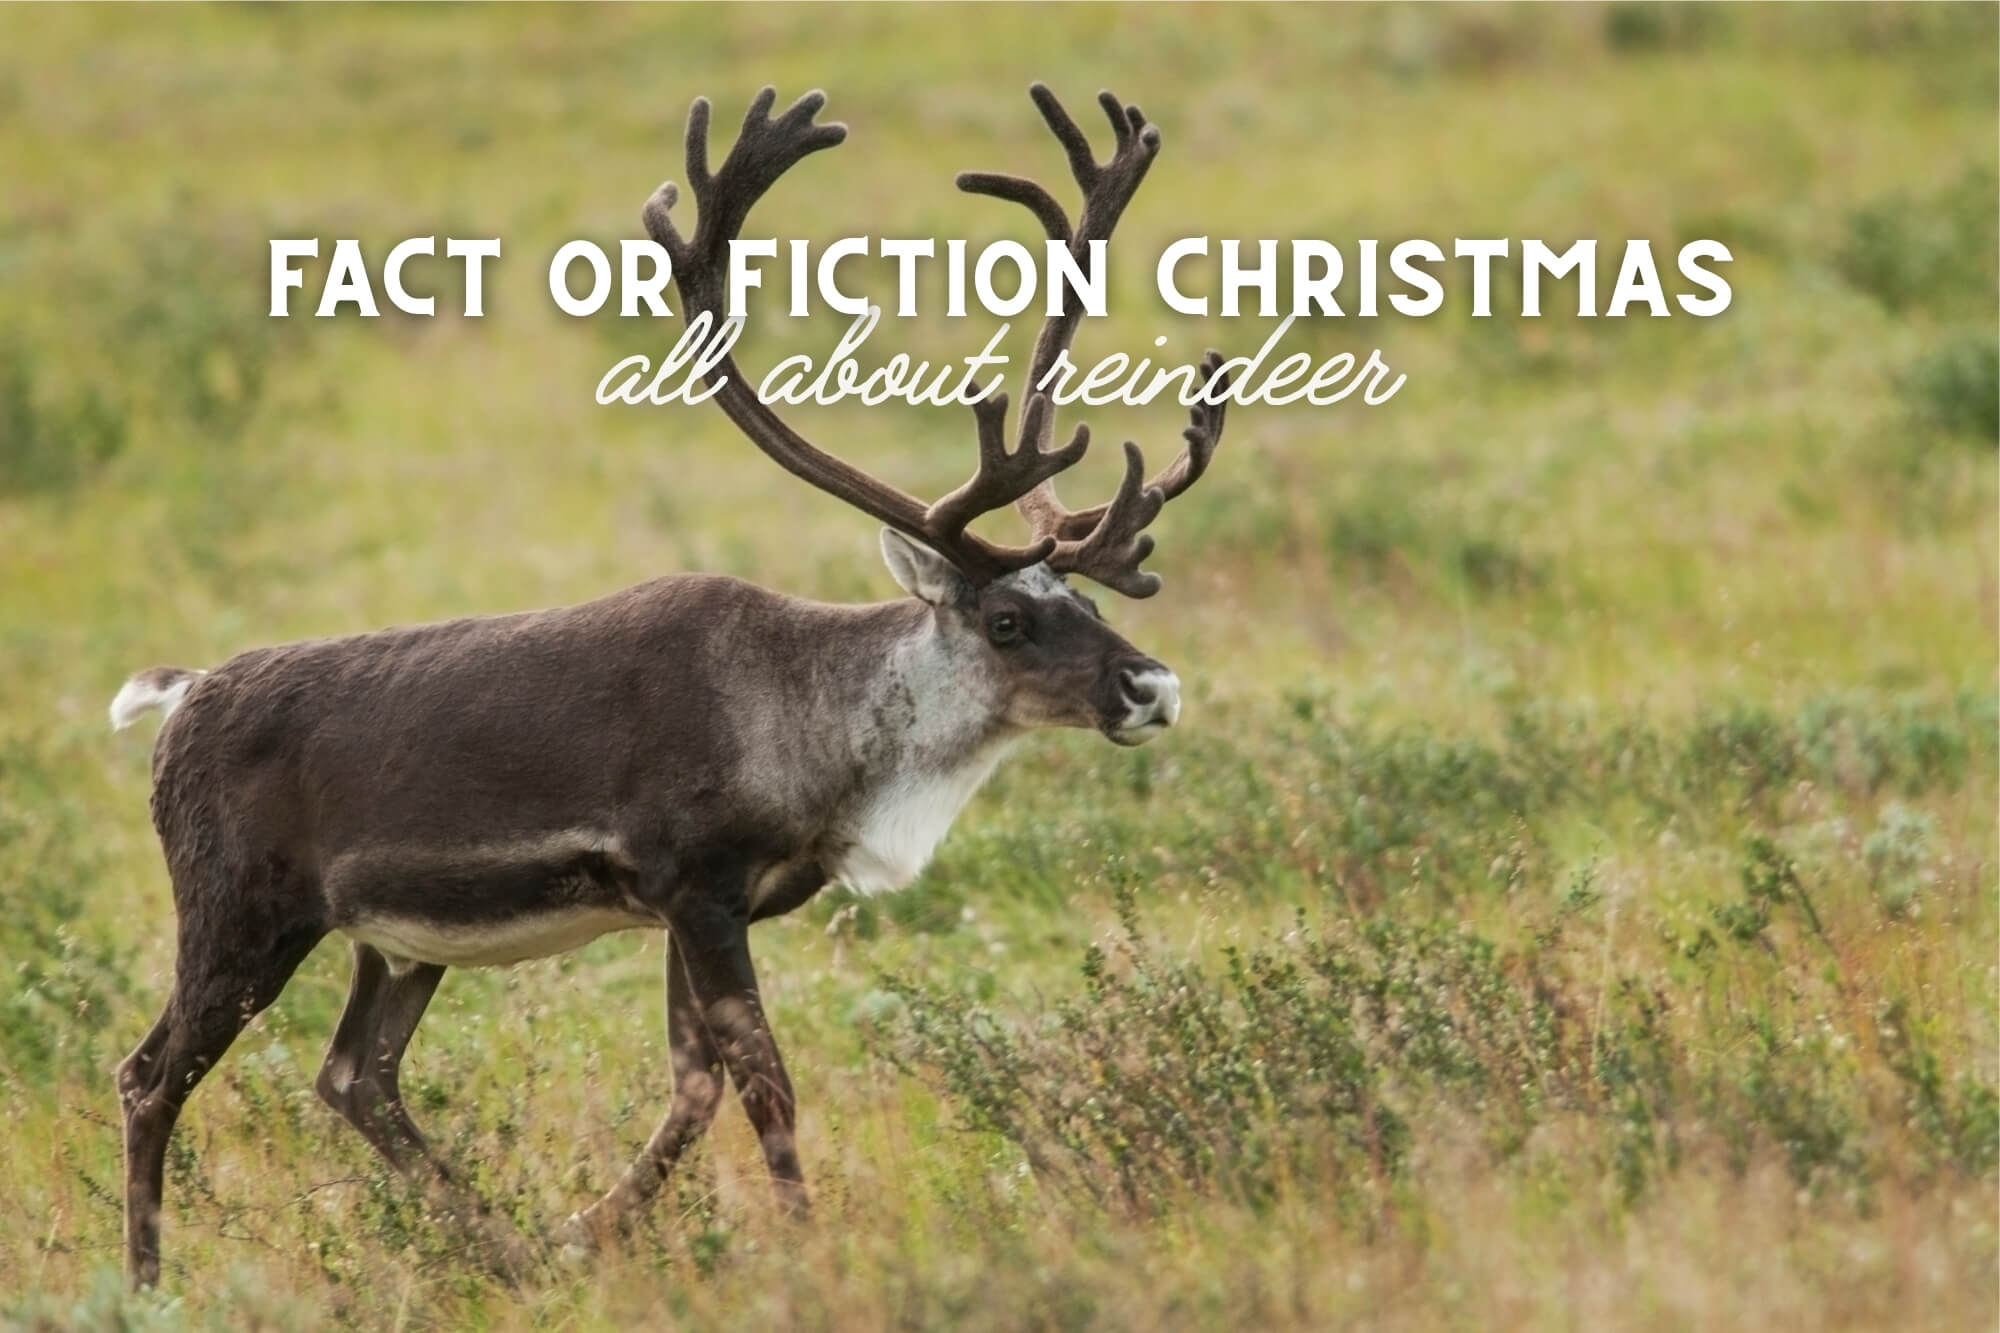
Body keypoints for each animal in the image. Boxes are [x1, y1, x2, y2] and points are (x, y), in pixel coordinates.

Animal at [107, 82, 1228, 1289]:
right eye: (1009, 620)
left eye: (1088, 599)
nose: (1152, 686)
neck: (819, 731)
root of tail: (183, 695)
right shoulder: (696, 886)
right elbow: (764, 1081)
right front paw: (804, 1246)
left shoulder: (702, 905)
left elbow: (694, 1086)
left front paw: (587, 1229)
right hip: (239, 911)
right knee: (150, 1075)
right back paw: (148, 1282)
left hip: (391, 940)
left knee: (356, 1076)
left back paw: (511, 1250)